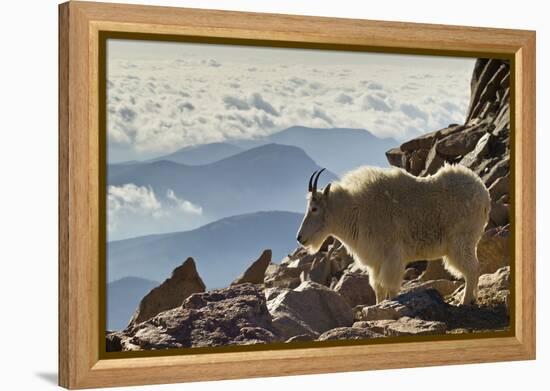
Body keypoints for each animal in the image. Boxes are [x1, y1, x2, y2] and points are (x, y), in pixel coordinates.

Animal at [298, 165, 492, 306]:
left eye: (314, 209)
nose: (299, 238)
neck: (355, 211)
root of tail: (484, 194)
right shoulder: (376, 261)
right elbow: (378, 288)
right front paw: (378, 307)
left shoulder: (392, 257)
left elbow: (390, 287)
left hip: (461, 242)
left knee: (472, 269)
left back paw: (465, 302)